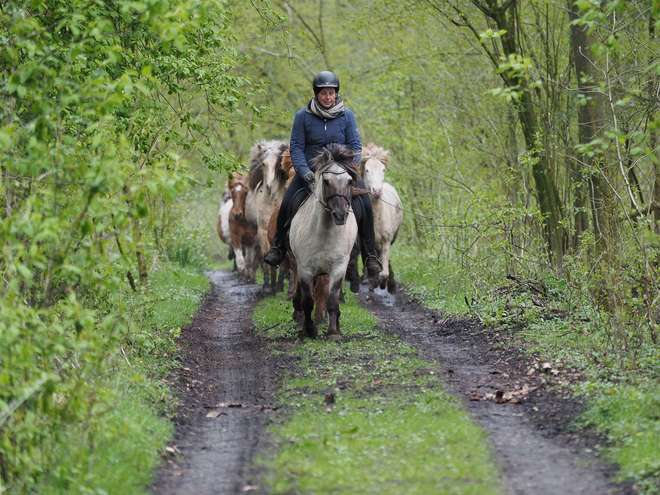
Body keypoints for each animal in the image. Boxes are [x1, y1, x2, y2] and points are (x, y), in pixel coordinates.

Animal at [290, 144, 360, 340]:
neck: (325, 232)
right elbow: (307, 301)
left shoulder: (338, 267)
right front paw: (309, 330)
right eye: (327, 181)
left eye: (349, 181)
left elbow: (332, 299)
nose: (340, 215)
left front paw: (333, 333)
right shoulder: (305, 269)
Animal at [358, 143, 404, 298]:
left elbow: (384, 273)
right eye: (367, 170)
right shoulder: (365, 245)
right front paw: (371, 294)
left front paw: (384, 284)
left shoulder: (386, 243)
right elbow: (371, 271)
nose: (377, 191)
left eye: (383, 169)